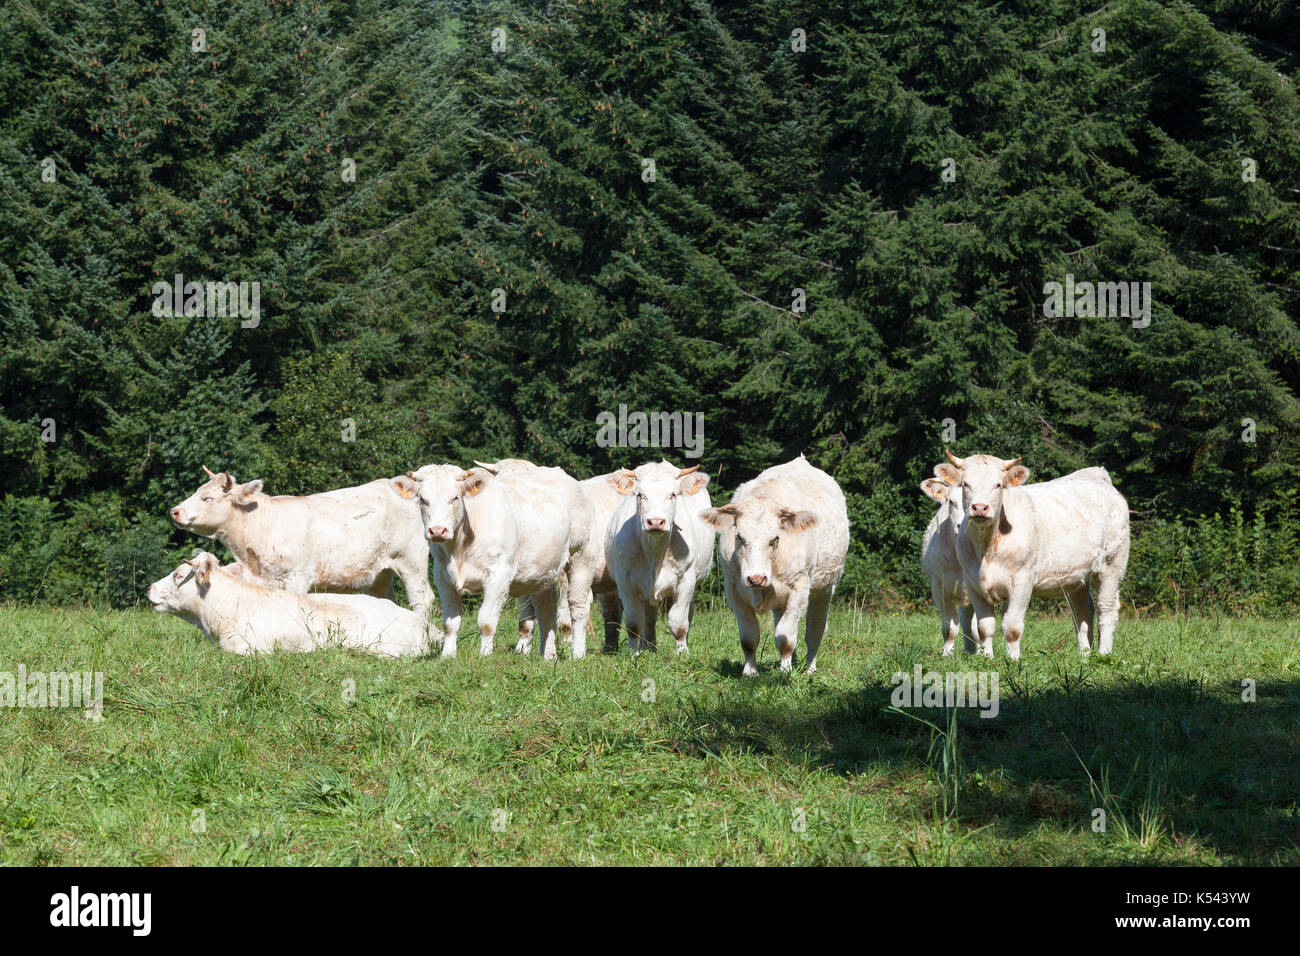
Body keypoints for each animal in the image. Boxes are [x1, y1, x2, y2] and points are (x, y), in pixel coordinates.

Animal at [170, 467, 436, 635]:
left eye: (207, 498)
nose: (175, 511)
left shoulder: (297, 577)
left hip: (411, 562)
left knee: (422, 598)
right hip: (382, 571)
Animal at [392, 463, 596, 659]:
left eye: (455, 498)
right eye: (422, 499)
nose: (437, 531)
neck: (459, 549)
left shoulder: (499, 576)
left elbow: (486, 621)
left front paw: (484, 655)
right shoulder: (443, 577)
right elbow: (450, 623)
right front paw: (447, 655)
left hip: (582, 557)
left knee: (578, 607)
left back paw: (577, 654)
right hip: (542, 572)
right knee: (546, 609)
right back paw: (548, 655)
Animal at [605, 461, 714, 655]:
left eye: (673, 494)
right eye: (640, 495)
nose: (655, 522)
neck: (655, 555)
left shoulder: (686, 580)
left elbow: (679, 623)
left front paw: (682, 653)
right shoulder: (625, 582)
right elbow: (634, 623)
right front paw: (633, 653)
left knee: (688, 615)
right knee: (649, 618)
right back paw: (648, 646)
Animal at [702, 455, 849, 676]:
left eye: (775, 539)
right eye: (739, 537)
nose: (756, 578)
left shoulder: (799, 588)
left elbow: (786, 637)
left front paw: (785, 672)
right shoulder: (733, 588)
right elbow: (749, 637)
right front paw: (750, 672)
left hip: (825, 586)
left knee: (815, 630)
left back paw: (810, 668)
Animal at [937, 450, 1130, 659]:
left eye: (998, 485)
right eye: (966, 484)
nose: (980, 507)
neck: (986, 548)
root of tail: (1097, 474)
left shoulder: (1023, 580)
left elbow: (1012, 627)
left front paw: (1013, 660)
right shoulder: (973, 583)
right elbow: (984, 628)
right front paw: (987, 659)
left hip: (1112, 564)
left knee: (1107, 609)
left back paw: (1104, 654)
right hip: (1077, 575)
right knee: (1083, 611)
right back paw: (1084, 656)